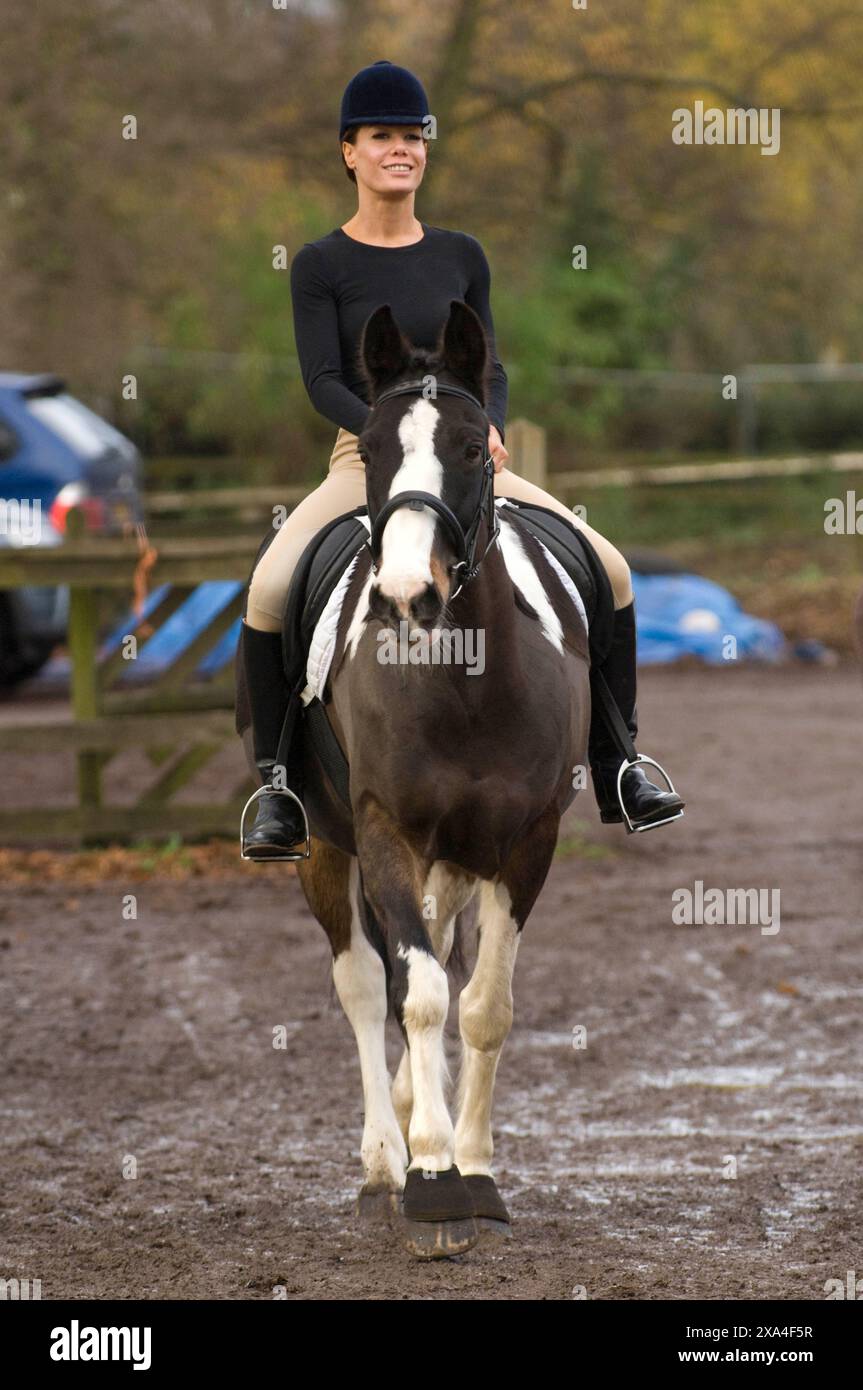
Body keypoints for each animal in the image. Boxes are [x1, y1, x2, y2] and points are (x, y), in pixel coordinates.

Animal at [294, 304, 586, 1262]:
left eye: (467, 446)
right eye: (373, 448)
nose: (403, 595)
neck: (462, 682)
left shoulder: (526, 843)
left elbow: (483, 1006)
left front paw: (476, 1170)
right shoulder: (383, 829)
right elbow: (417, 995)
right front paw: (429, 1176)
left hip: (456, 862)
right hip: (323, 843)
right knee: (362, 985)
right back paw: (383, 1161)